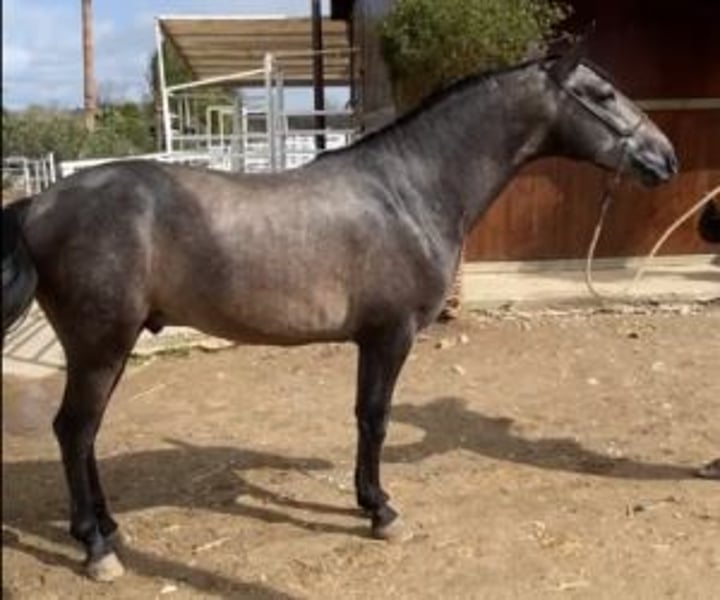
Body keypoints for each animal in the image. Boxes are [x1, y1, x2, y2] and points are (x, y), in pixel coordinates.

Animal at [1, 49, 678, 581]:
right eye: (601, 95)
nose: (664, 157)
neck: (408, 191)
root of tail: (39, 202)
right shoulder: (390, 335)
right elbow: (375, 420)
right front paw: (381, 511)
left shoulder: (371, 339)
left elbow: (362, 418)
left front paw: (367, 501)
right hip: (100, 346)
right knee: (73, 431)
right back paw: (95, 547)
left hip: (106, 348)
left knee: (87, 433)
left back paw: (109, 527)